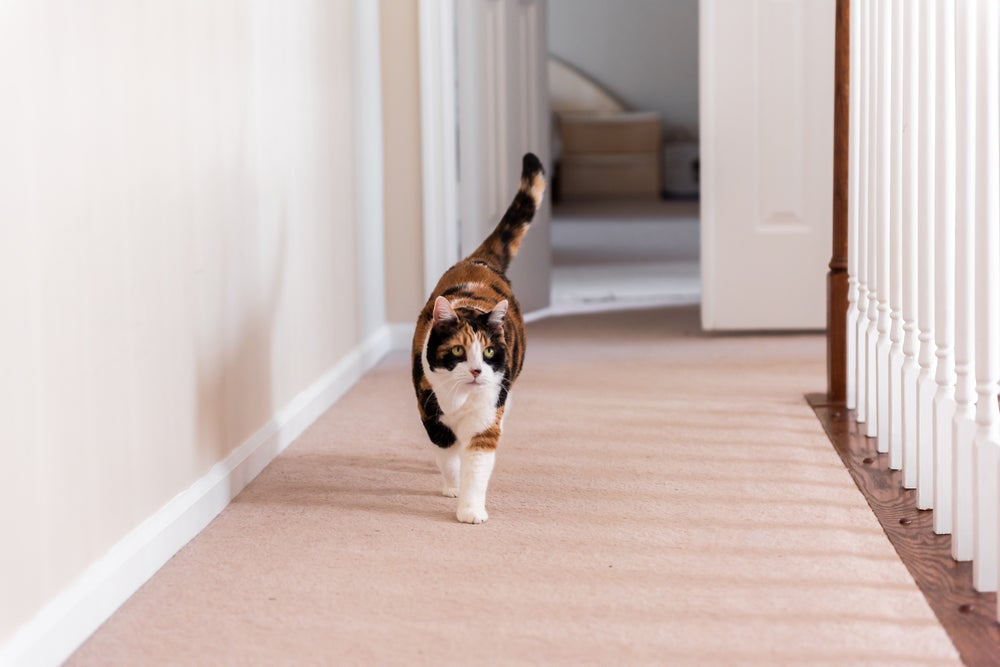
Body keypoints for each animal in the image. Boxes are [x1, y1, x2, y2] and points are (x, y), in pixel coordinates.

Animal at [410, 154, 548, 524]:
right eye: (458, 349)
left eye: (487, 352)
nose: (476, 371)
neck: (459, 399)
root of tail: (479, 261)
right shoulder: (430, 410)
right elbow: (448, 454)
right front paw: (453, 487)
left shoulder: (487, 418)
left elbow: (477, 463)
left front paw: (471, 509)